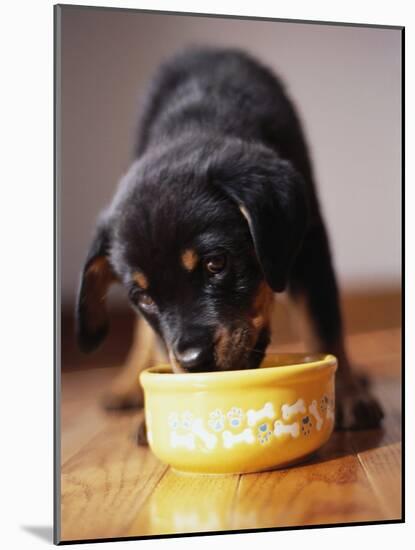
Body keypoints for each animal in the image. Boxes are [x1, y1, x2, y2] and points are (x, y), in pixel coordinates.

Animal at [75, 48, 384, 444]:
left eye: (216, 263)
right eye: (143, 298)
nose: (194, 361)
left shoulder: (310, 244)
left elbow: (323, 324)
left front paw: (346, 395)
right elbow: (156, 339)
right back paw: (126, 386)